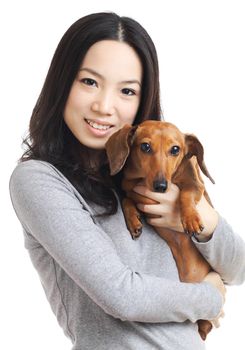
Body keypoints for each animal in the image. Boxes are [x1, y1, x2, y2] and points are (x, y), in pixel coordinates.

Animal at [105, 120, 214, 340]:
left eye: (175, 149)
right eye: (145, 146)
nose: (161, 186)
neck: (141, 180)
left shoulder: (194, 184)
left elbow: (185, 195)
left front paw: (190, 219)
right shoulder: (133, 193)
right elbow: (127, 200)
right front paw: (134, 221)